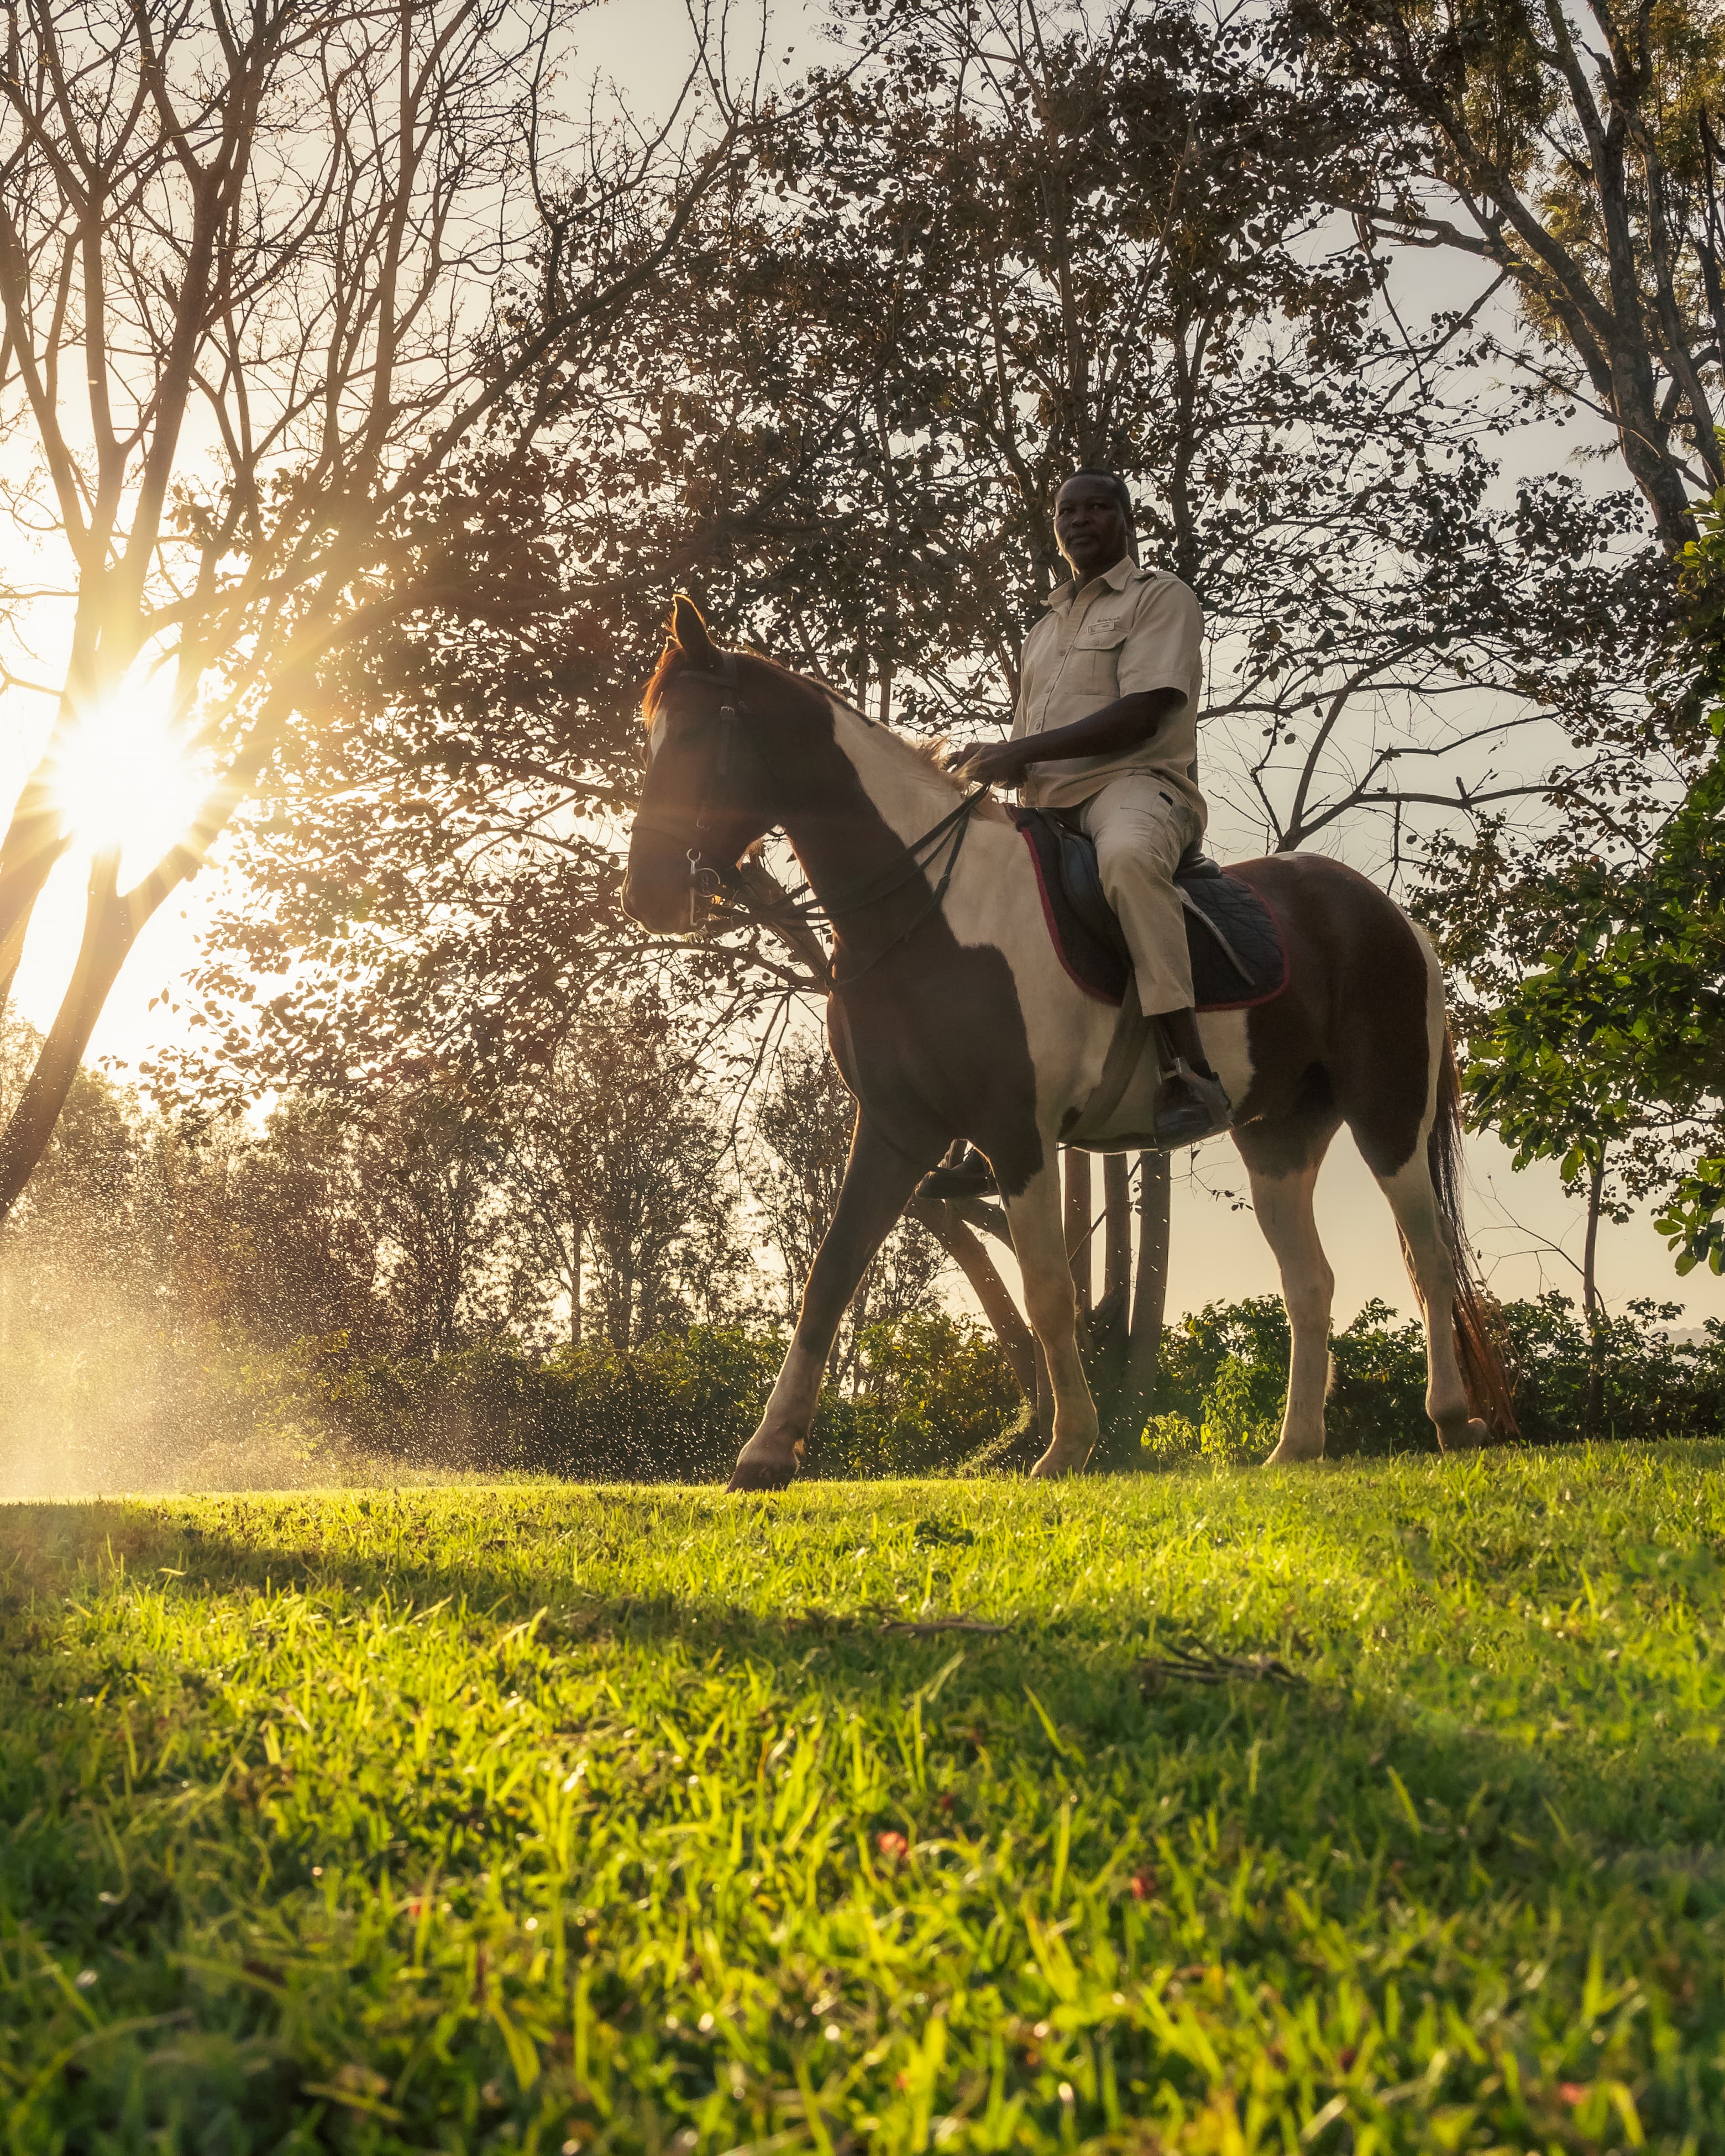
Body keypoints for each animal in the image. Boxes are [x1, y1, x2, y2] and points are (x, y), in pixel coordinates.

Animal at [621, 599, 1509, 1492]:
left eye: (695, 737)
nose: (646, 895)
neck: (929, 910)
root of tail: (1388, 916)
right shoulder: (896, 1129)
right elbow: (830, 1272)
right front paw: (765, 1452)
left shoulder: (1016, 1132)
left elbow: (1048, 1290)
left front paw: (1069, 1444)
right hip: (1277, 1137)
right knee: (1309, 1283)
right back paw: (1294, 1445)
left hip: (1387, 1111)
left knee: (1429, 1258)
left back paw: (1451, 1420)